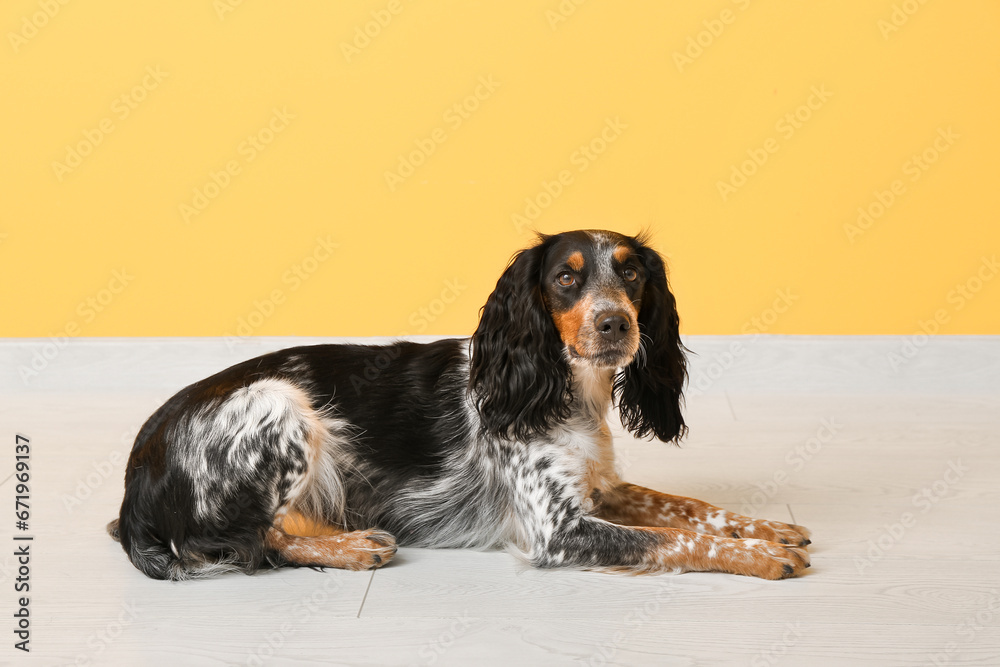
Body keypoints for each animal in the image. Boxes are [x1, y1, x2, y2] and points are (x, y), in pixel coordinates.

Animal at [107, 230, 812, 580]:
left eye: (632, 272)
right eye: (566, 276)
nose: (617, 323)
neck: (558, 389)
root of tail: (132, 488)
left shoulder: (600, 487)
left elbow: (688, 508)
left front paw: (766, 527)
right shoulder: (558, 529)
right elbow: (669, 537)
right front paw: (761, 555)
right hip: (281, 401)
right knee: (256, 540)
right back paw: (354, 548)